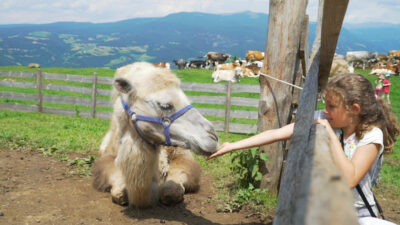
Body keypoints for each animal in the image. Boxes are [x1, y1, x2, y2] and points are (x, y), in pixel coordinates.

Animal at [91, 62, 219, 207]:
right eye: (165, 105)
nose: (213, 137)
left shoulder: (183, 159)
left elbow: (171, 189)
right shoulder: (107, 159)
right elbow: (118, 192)